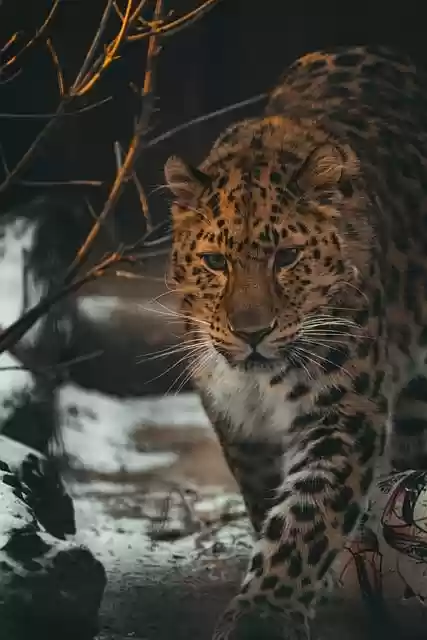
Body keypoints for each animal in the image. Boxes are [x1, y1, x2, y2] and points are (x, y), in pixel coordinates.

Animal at [164, 45, 427, 639]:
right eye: (215, 262)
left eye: (287, 258)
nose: (251, 332)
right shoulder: (235, 418)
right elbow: (268, 500)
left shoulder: (343, 411)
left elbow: (308, 518)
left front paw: (265, 612)